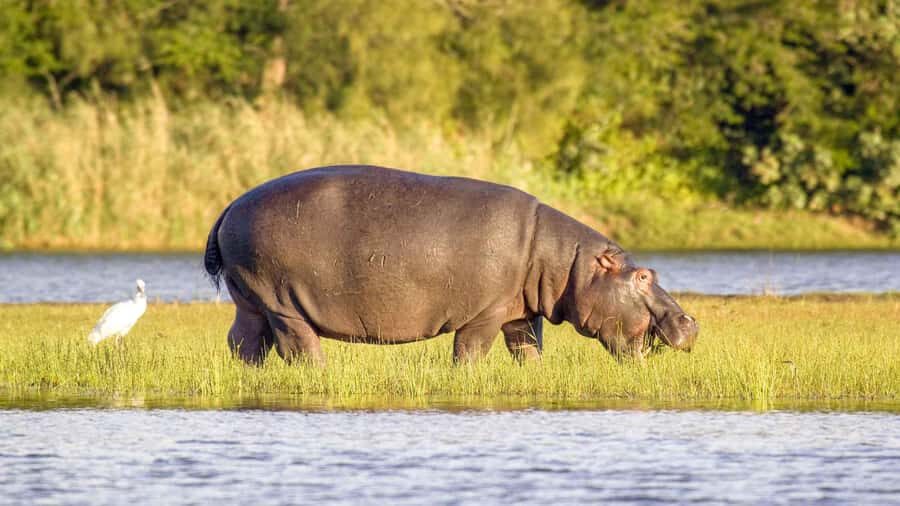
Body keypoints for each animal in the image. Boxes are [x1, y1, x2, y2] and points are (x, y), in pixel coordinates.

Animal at [204, 165, 698, 365]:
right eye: (643, 276)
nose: (691, 322)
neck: (567, 263)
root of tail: (229, 206)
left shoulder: (520, 313)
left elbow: (528, 350)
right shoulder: (485, 313)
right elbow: (471, 352)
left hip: (250, 298)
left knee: (244, 342)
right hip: (282, 302)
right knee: (299, 348)